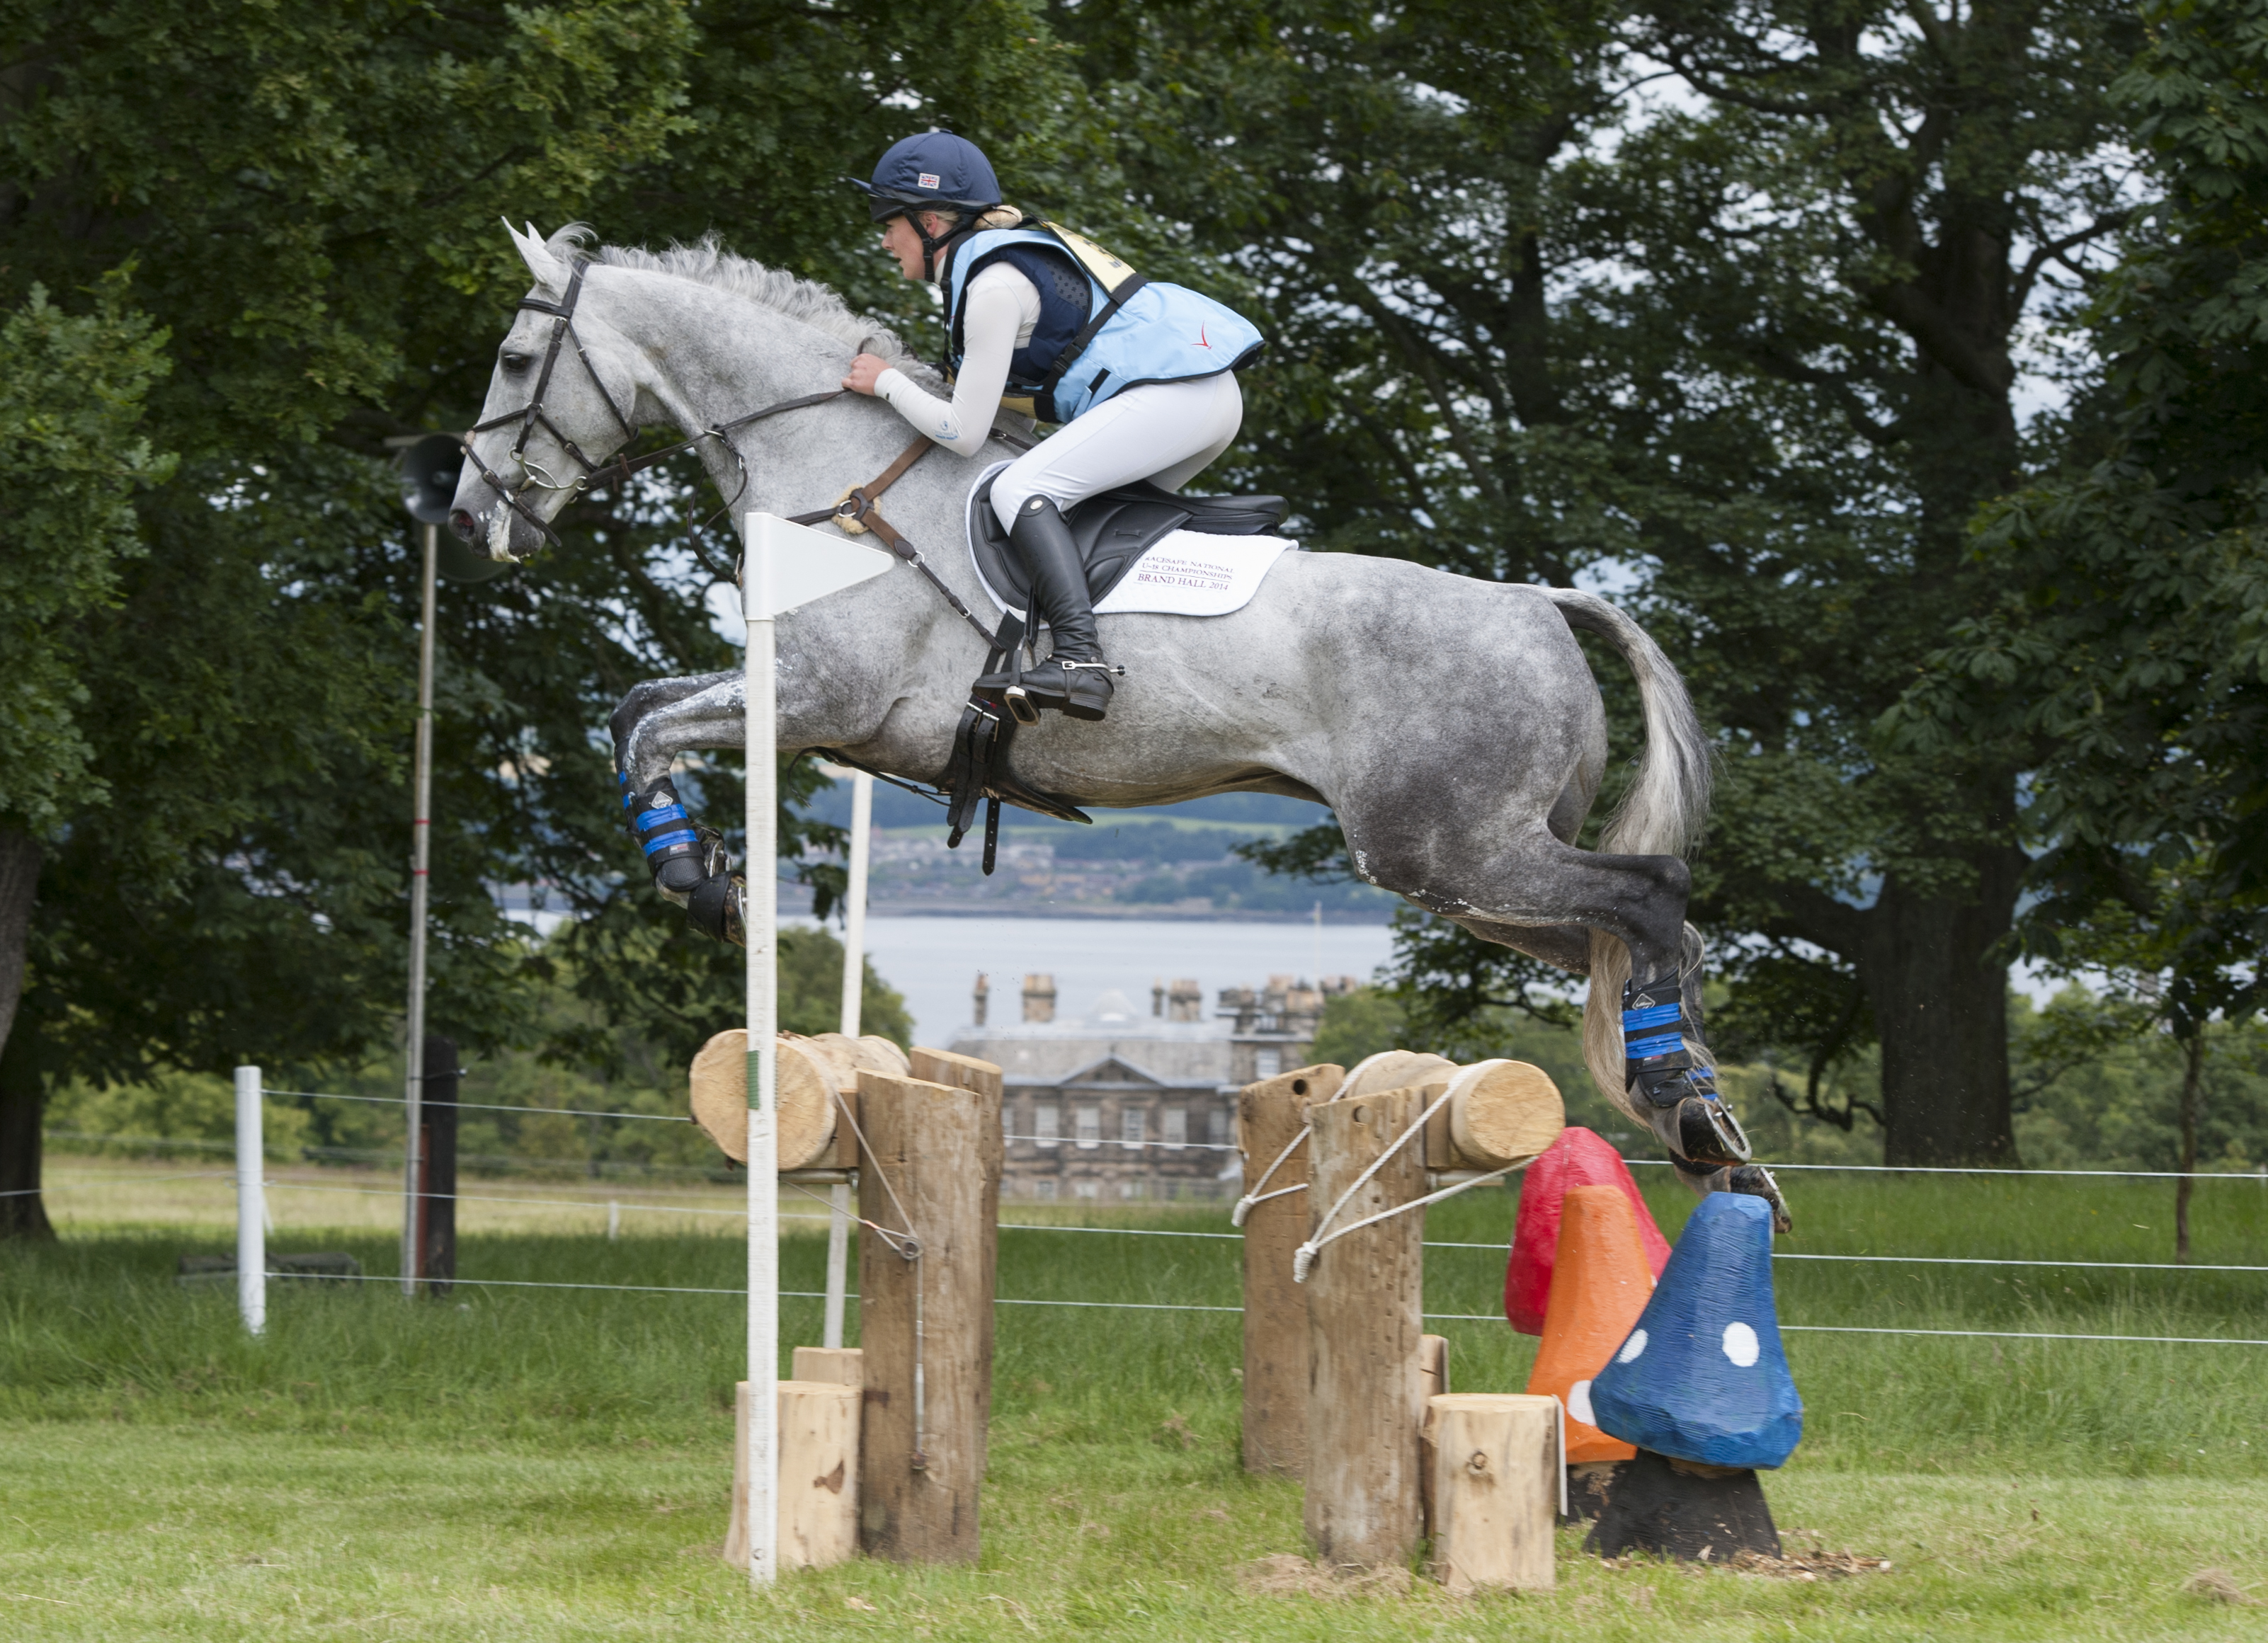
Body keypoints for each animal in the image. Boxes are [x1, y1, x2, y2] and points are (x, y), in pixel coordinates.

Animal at [446, 222, 1788, 1228]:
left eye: (512, 360)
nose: (467, 519)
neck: (834, 470)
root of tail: (1535, 600)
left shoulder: (824, 703)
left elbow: (645, 724)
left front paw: (696, 880)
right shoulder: (809, 709)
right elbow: (635, 711)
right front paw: (701, 868)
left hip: (1446, 847)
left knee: (1652, 896)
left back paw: (1689, 1106)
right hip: (1468, 868)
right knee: (1639, 939)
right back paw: (1699, 1122)